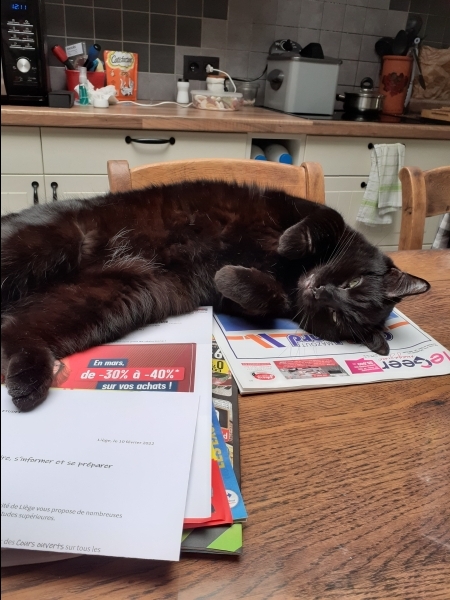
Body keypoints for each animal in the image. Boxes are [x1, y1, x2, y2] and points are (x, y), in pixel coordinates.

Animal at [1, 180, 430, 411]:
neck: (294, 275)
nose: (320, 291)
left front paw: (230, 276)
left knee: (18, 332)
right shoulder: (302, 208)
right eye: (352, 284)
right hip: (46, 244)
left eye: (338, 317)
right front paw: (290, 242)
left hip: (115, 294)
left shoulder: (249, 303)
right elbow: (329, 220)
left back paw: (26, 383)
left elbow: (267, 299)